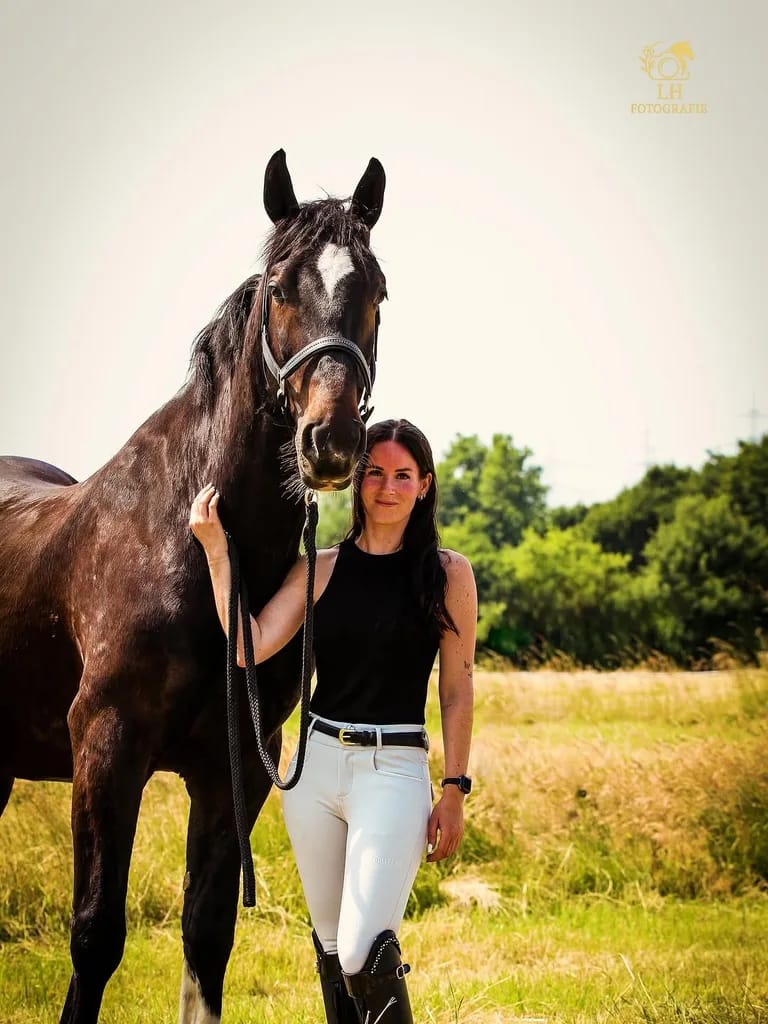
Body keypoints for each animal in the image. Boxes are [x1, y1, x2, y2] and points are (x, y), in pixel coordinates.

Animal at [0, 149, 387, 1024]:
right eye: (279, 286)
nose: (331, 441)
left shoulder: (230, 766)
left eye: (377, 290)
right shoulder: (106, 749)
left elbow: (206, 936)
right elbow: (95, 936)